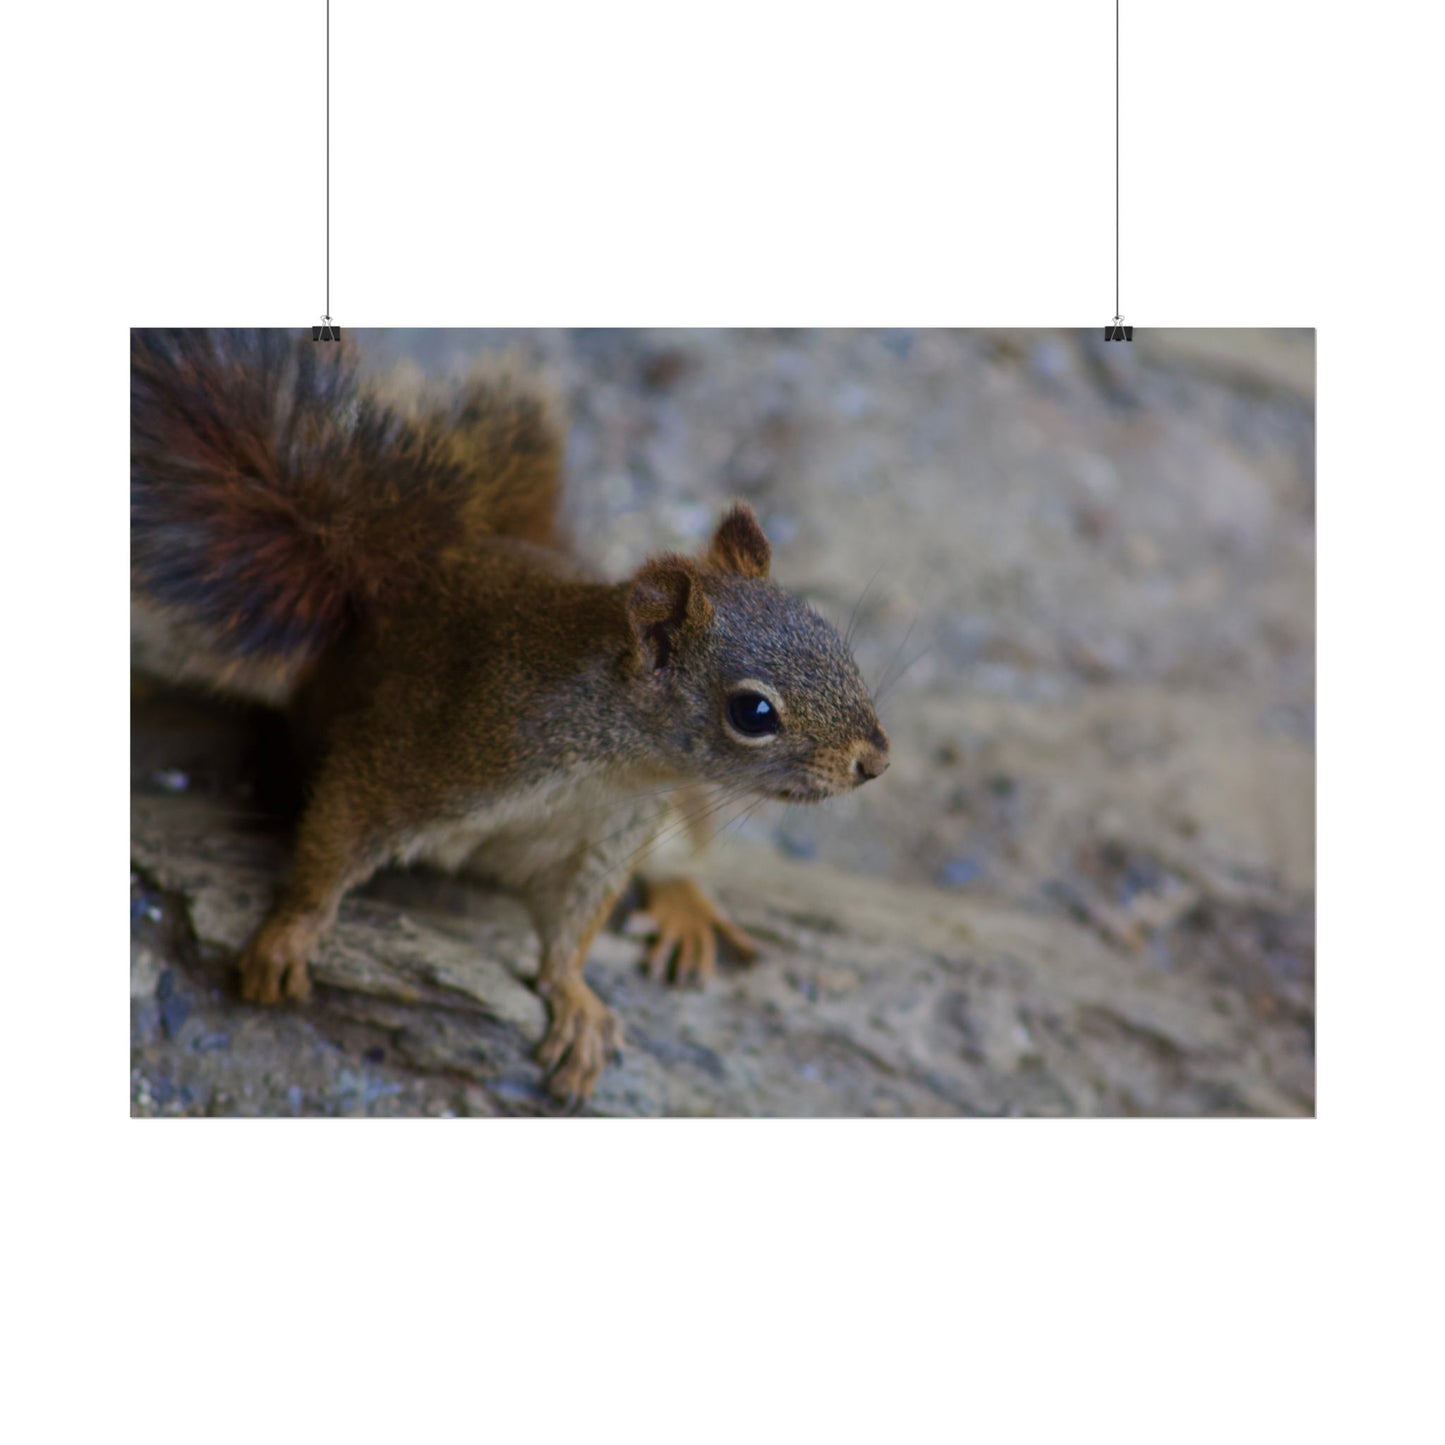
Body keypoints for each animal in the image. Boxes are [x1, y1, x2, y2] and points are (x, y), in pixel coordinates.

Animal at [131, 329, 890, 1103]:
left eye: (830, 635)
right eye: (753, 711)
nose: (875, 760)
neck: (614, 761)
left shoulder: (611, 838)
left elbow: (573, 929)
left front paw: (576, 999)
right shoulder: (432, 751)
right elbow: (337, 836)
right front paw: (287, 935)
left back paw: (685, 907)